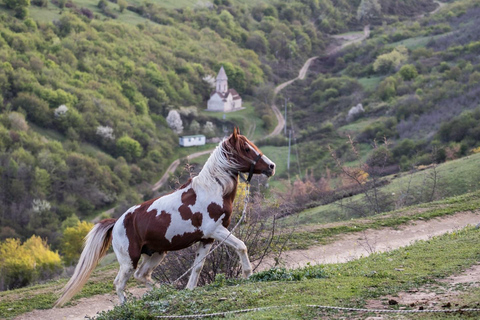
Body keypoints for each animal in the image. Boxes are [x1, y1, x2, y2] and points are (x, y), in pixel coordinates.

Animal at [54, 129, 276, 306]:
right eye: (246, 148)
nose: (271, 166)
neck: (212, 189)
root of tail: (116, 222)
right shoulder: (216, 230)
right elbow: (241, 246)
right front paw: (248, 274)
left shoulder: (207, 238)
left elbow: (197, 267)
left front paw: (189, 290)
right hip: (129, 260)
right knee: (119, 283)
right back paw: (126, 306)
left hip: (156, 254)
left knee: (142, 275)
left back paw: (162, 292)